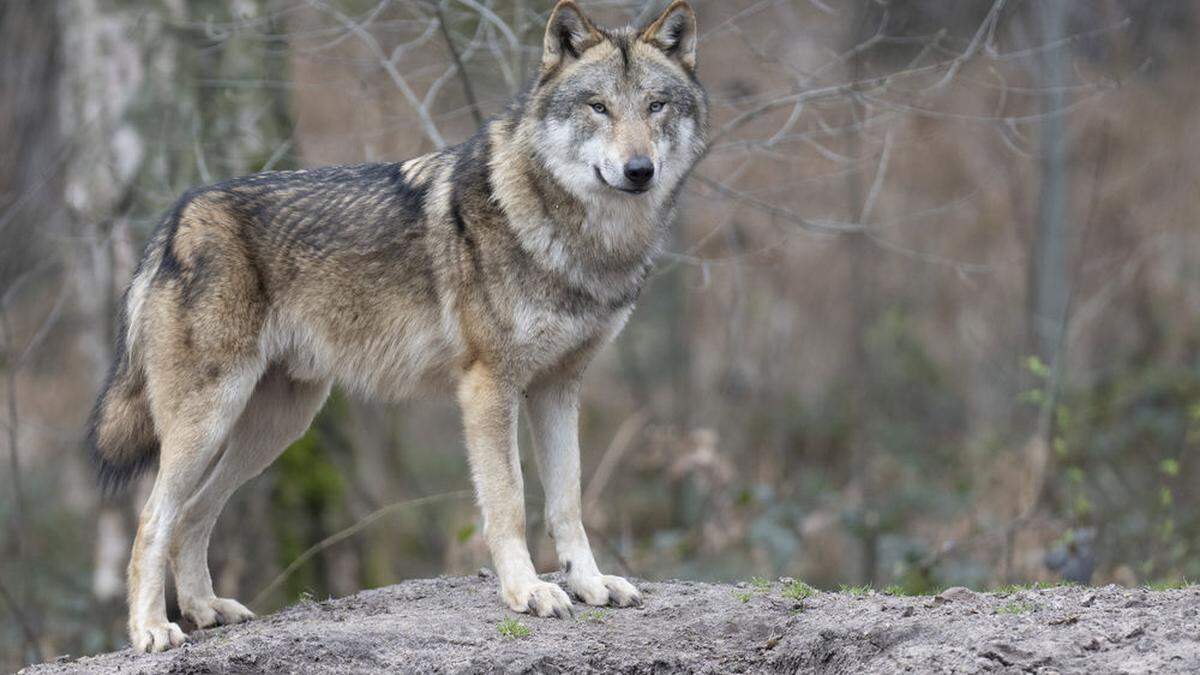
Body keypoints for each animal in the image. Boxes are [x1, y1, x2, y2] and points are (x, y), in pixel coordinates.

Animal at [88, 1, 705, 653]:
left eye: (655, 106)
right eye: (598, 107)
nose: (639, 170)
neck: (581, 241)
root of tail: (175, 218)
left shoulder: (559, 389)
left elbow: (567, 502)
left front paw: (589, 584)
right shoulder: (489, 387)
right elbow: (509, 502)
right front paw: (527, 592)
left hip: (276, 427)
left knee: (193, 515)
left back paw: (207, 610)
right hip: (211, 421)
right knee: (153, 519)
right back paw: (151, 630)